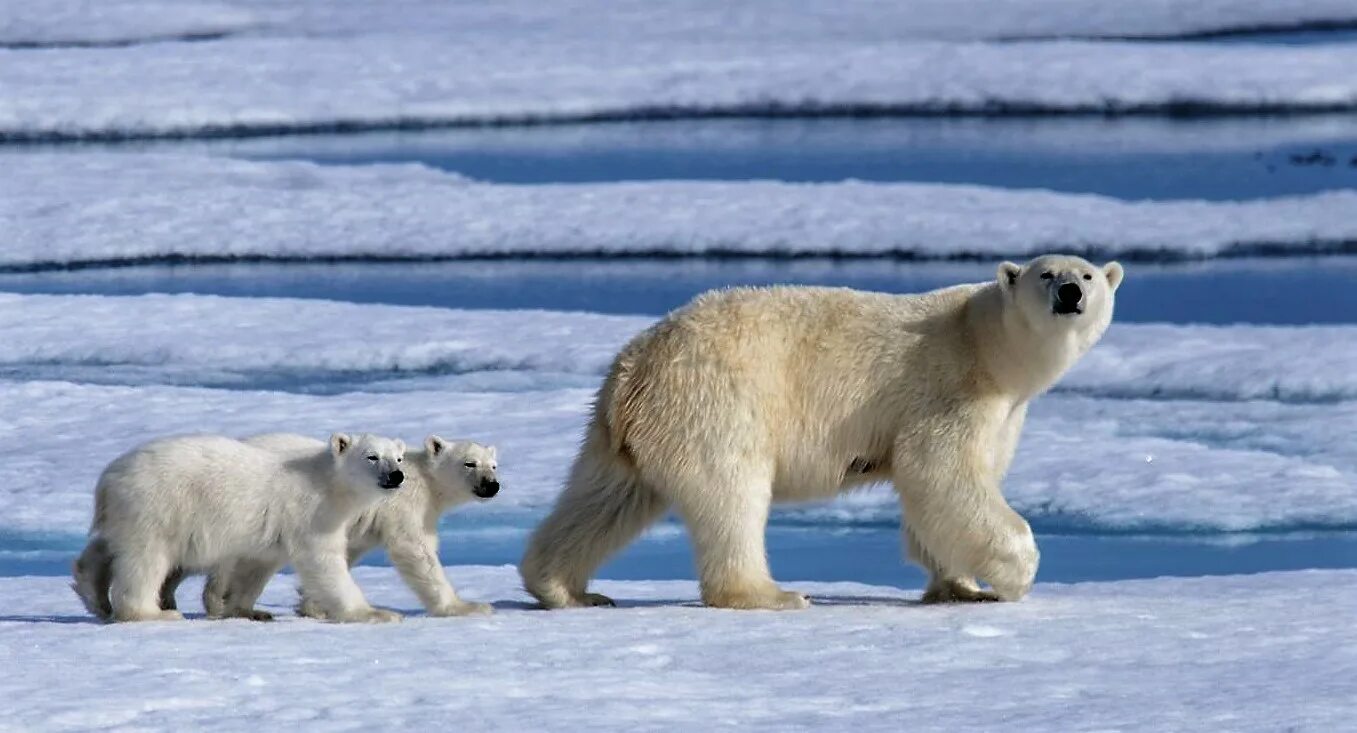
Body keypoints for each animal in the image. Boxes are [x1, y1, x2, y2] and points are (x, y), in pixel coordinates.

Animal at [521, 255, 1123, 610]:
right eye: (1047, 274)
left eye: (1089, 274)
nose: (1071, 293)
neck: (986, 343)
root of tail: (635, 368)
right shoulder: (952, 389)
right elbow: (940, 473)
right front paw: (1015, 575)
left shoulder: (1005, 413)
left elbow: (942, 495)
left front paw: (959, 586)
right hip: (716, 403)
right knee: (731, 495)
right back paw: (771, 593)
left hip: (623, 433)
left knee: (604, 499)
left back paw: (565, 589)